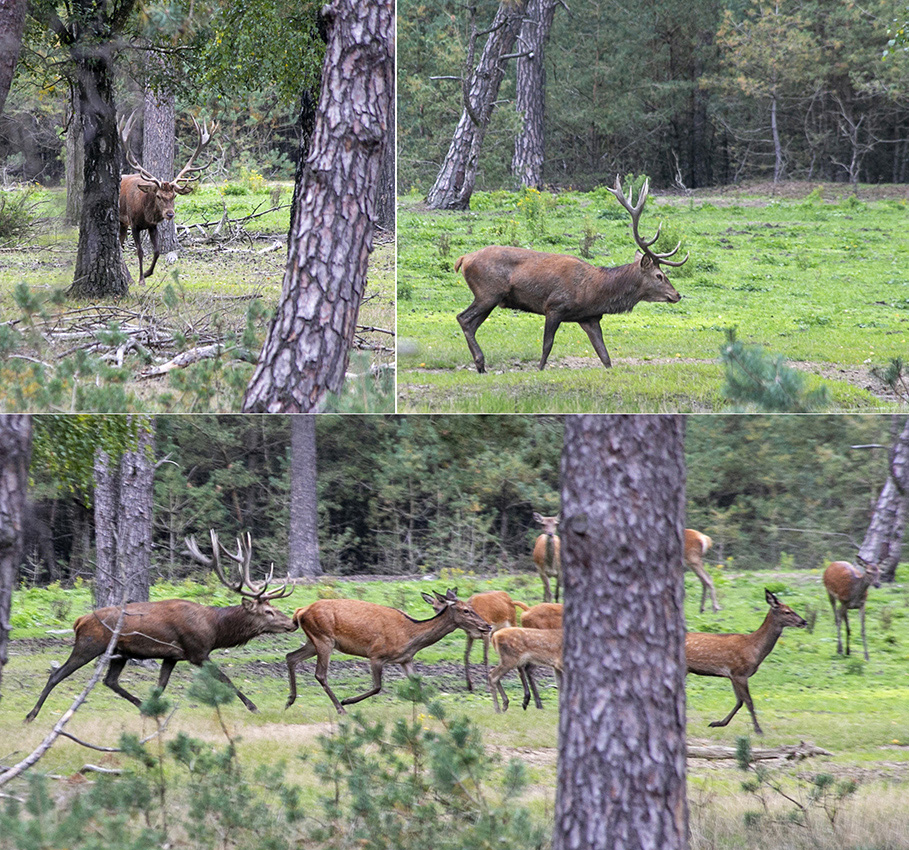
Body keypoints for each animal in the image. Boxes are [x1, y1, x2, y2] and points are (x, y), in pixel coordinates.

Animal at [24, 528, 294, 724]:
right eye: (268, 611)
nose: (292, 623)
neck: (216, 630)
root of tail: (79, 620)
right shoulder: (197, 652)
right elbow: (225, 678)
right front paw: (253, 707)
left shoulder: (172, 656)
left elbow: (160, 686)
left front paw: (152, 708)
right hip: (88, 645)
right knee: (57, 674)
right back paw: (30, 715)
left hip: (119, 653)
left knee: (110, 681)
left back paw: (140, 705)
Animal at [118, 111, 217, 284]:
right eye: (158, 196)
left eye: (174, 195)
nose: (170, 214)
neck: (145, 213)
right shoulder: (134, 223)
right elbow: (140, 251)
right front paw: (141, 279)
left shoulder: (152, 226)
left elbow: (157, 251)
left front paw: (147, 273)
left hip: (123, 223)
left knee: (120, 246)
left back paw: (128, 277)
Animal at [288, 588, 494, 712]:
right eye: (466, 610)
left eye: (471, 607)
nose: (488, 625)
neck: (410, 636)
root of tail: (300, 610)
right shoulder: (376, 654)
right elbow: (377, 687)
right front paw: (348, 700)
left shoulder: (406, 659)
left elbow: (419, 685)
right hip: (324, 639)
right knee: (320, 674)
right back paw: (341, 708)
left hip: (313, 641)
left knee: (291, 656)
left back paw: (290, 700)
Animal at [458, 174, 684, 370]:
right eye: (659, 275)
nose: (677, 295)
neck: (595, 292)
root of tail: (463, 259)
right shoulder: (554, 307)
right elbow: (547, 346)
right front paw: (539, 369)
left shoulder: (589, 318)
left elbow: (605, 355)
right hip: (488, 293)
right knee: (463, 318)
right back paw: (480, 362)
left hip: (490, 298)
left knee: (471, 323)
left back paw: (480, 365)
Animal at [684, 588, 804, 732]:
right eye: (787, 611)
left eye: (792, 609)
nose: (804, 622)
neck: (755, 649)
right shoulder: (740, 673)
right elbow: (749, 702)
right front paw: (758, 730)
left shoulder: (733, 675)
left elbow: (739, 702)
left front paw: (717, 723)